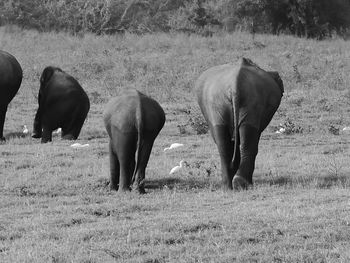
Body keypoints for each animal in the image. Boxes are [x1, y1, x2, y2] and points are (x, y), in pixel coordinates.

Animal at [196, 57, 284, 191]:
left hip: (219, 104)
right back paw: (240, 183)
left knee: (224, 144)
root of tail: (234, 86)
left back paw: (229, 186)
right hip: (248, 102)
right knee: (248, 141)